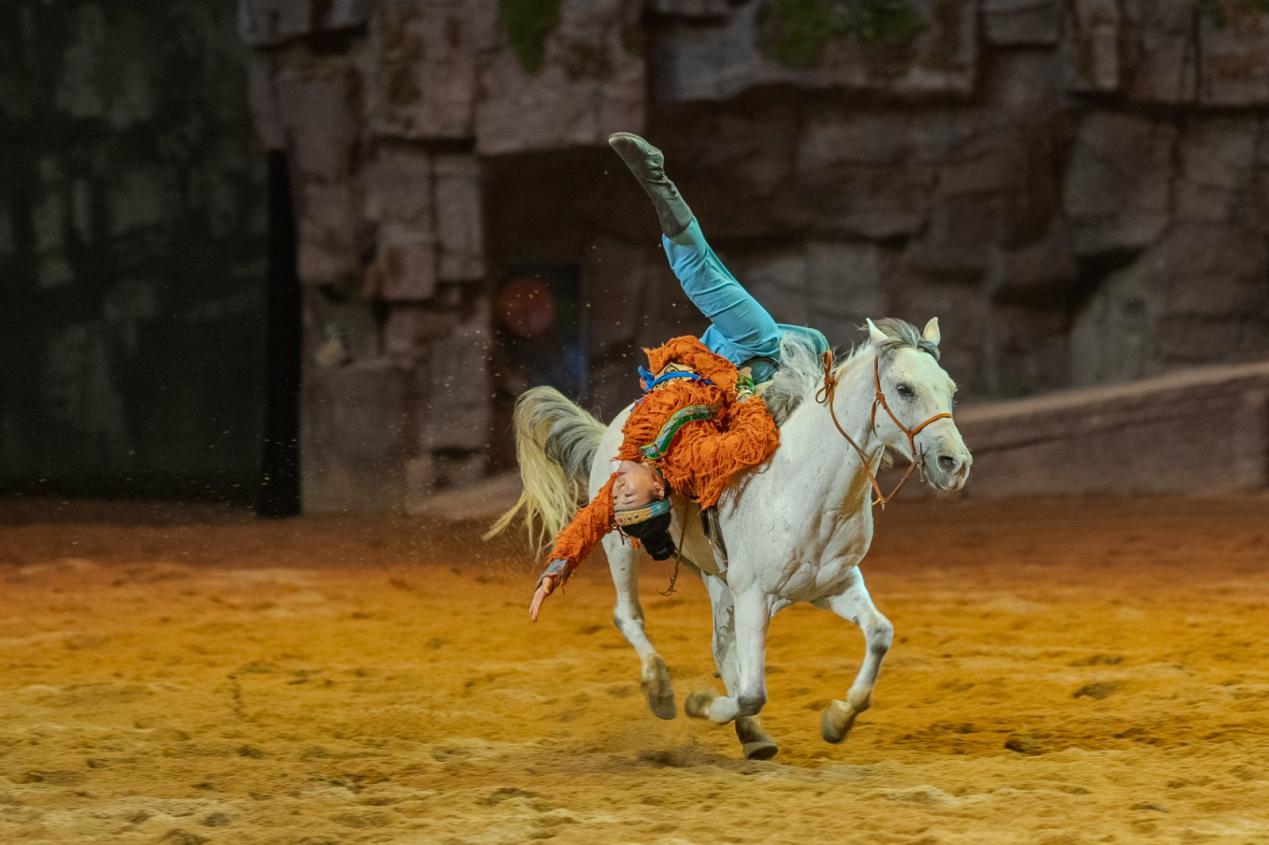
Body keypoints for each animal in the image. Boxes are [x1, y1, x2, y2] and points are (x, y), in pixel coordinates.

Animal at [491, 317, 972, 760]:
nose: (955, 463)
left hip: (718, 578)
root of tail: (615, 425)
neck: (803, 487)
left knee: (720, 646)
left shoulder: (832, 586)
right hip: (620, 544)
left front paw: (838, 720)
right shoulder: (755, 594)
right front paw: (701, 704)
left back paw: (752, 735)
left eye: (950, 388)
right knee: (629, 616)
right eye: (903, 388)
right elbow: (752, 691)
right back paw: (662, 693)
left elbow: (880, 634)